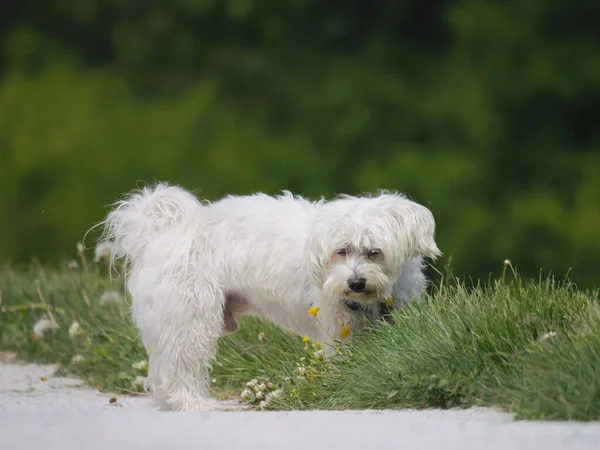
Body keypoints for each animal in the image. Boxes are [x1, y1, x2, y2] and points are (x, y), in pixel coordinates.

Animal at [99, 183, 440, 412]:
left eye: (374, 252)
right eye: (341, 251)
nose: (355, 283)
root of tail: (158, 234)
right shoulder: (340, 326)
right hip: (189, 316)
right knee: (179, 363)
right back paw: (192, 402)